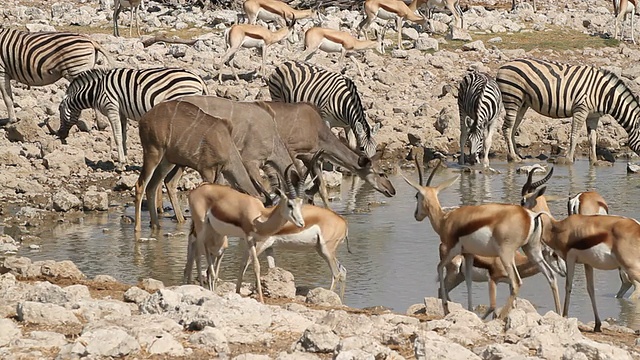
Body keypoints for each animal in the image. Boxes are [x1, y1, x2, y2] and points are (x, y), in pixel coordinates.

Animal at [56, 67, 208, 165]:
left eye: (59, 109)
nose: (59, 135)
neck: (96, 90)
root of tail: (198, 79)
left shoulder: (112, 108)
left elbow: (117, 136)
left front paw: (121, 163)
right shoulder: (121, 113)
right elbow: (123, 136)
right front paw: (126, 159)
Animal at [185, 165, 308, 302]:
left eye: (301, 204)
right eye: (289, 204)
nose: (301, 223)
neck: (260, 216)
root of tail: (195, 191)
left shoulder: (251, 240)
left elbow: (243, 264)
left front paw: (238, 291)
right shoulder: (249, 238)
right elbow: (256, 266)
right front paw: (261, 300)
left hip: (211, 229)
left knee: (204, 249)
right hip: (200, 225)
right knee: (197, 254)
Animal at [404, 160, 560, 318]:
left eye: (417, 196)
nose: (416, 215)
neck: (445, 220)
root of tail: (531, 215)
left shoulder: (452, 249)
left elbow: (439, 267)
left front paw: (448, 309)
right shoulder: (468, 254)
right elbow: (469, 281)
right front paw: (469, 310)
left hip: (506, 254)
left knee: (516, 282)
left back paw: (501, 318)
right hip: (531, 250)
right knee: (551, 276)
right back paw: (560, 314)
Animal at [498, 58, 640, 165]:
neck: (604, 95)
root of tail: (503, 66)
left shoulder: (593, 116)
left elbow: (593, 138)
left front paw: (594, 161)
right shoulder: (581, 110)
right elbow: (574, 135)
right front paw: (569, 159)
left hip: (523, 103)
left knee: (513, 128)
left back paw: (518, 155)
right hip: (512, 98)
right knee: (506, 128)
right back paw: (513, 157)